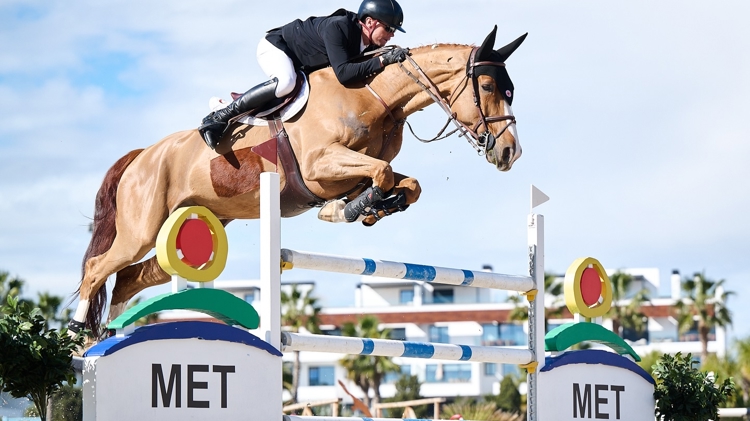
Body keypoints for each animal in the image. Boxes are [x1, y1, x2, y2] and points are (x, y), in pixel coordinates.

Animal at [70, 26, 528, 336]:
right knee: (96, 269)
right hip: (141, 230)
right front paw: (353, 208)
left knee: (129, 279)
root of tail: (142, 156)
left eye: (510, 89)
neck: (374, 95)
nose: (510, 153)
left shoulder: (356, 167)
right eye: (488, 85)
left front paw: (364, 207)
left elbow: (406, 184)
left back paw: (109, 339)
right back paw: (79, 336)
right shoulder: (320, 165)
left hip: (182, 236)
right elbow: (379, 175)